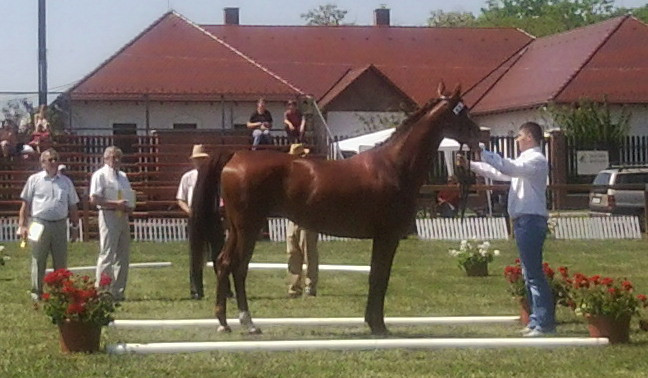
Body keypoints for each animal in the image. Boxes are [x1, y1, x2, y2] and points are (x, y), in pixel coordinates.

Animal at [190, 82, 478, 334]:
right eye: (462, 111)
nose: (479, 136)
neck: (393, 166)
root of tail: (235, 156)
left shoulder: (382, 238)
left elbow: (375, 276)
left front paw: (372, 322)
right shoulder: (387, 237)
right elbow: (380, 277)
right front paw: (378, 326)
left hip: (235, 229)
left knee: (223, 263)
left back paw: (224, 322)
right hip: (248, 228)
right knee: (238, 268)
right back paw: (248, 323)